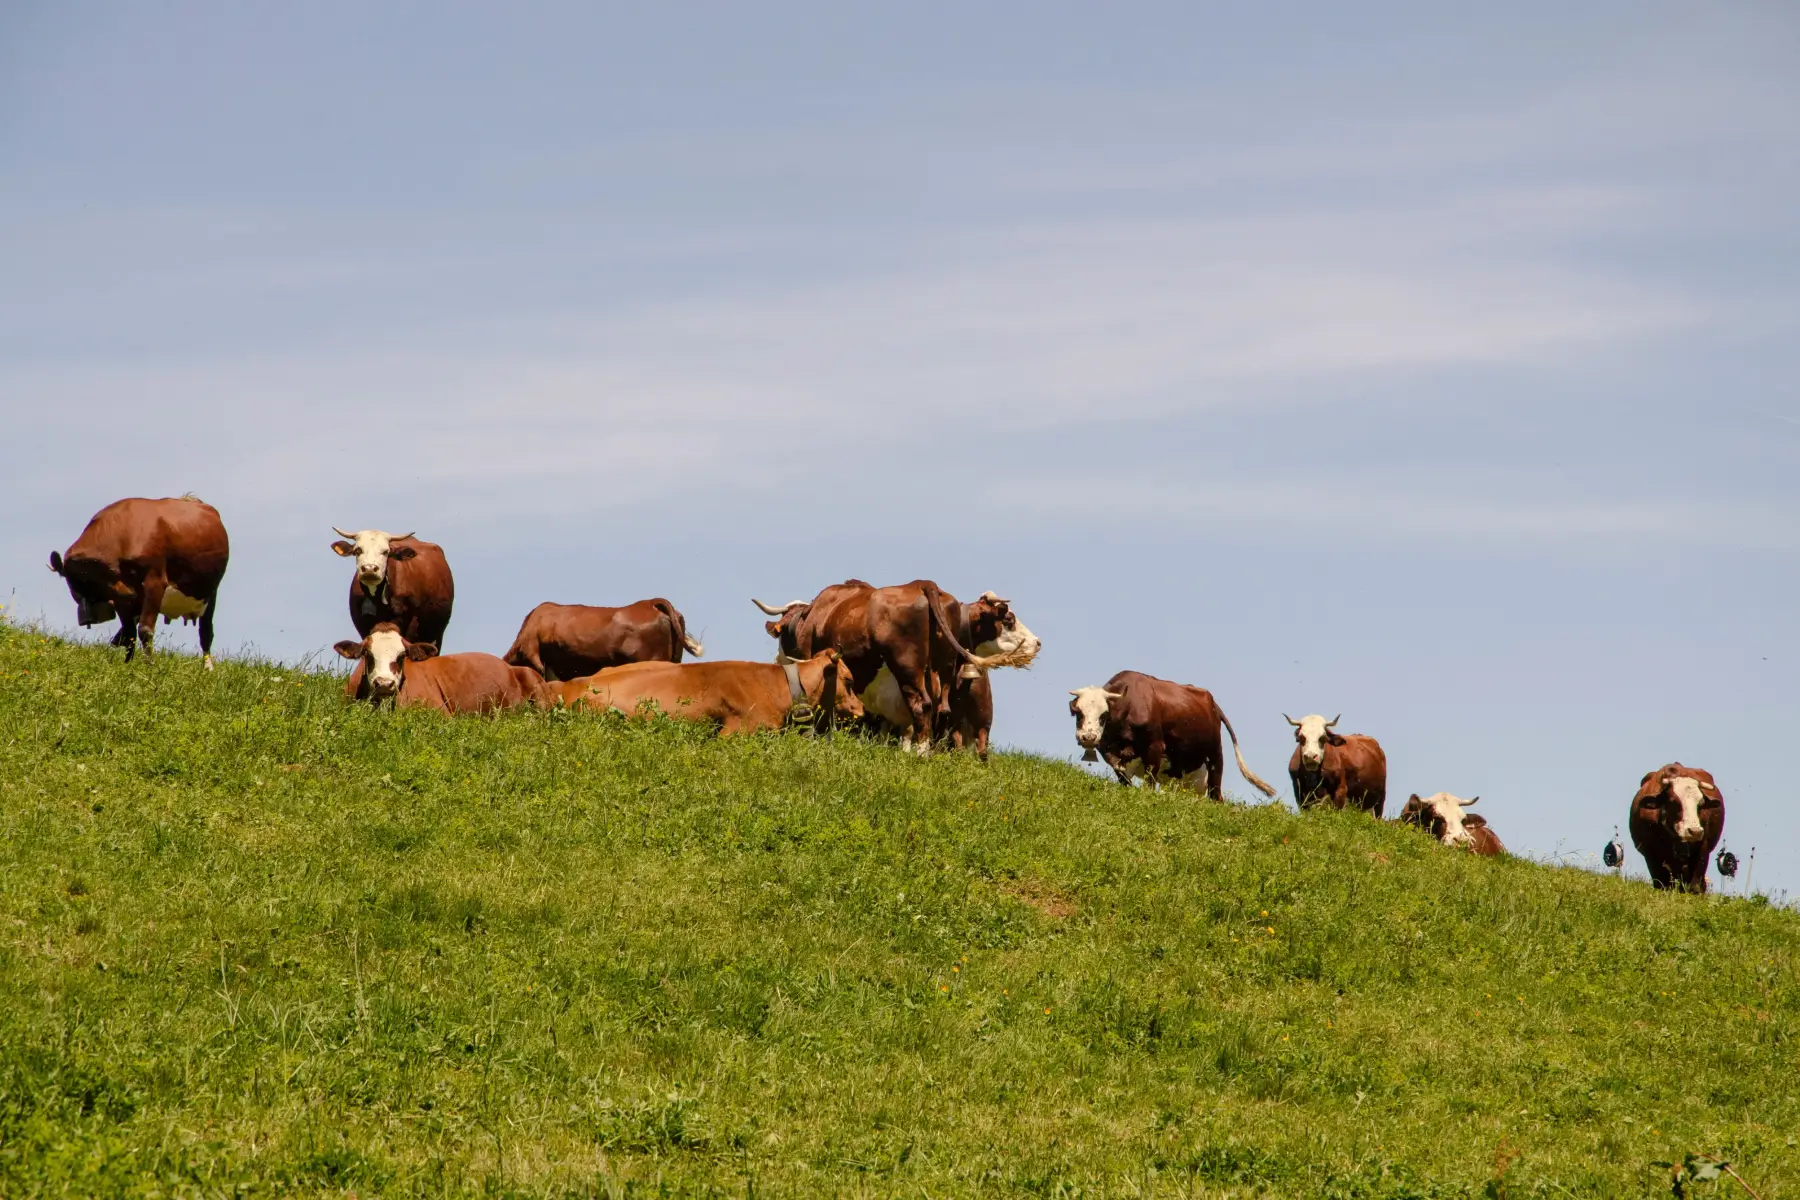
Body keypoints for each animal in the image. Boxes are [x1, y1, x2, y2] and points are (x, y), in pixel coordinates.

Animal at [49, 495, 229, 667]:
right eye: (77, 584)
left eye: (105, 576)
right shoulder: (122, 597)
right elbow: (130, 633)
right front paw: (127, 665)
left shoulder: (155, 581)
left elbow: (145, 629)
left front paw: (149, 665)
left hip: (210, 592)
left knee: (206, 632)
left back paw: (208, 668)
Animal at [753, 581, 1038, 754]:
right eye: (1009, 619)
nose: (1037, 642)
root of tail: (923, 583)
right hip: (942, 669)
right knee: (941, 710)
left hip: (907, 668)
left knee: (922, 706)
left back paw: (920, 754)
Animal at [1067, 671, 1277, 799]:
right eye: (1078, 713)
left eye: (1103, 715)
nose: (1088, 737)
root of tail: (1211, 702)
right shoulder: (1110, 753)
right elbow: (1124, 779)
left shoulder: (1154, 748)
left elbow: (1150, 783)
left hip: (1215, 757)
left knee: (1216, 797)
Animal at [1629, 763, 1725, 893]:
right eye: (1674, 801)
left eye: (1700, 803)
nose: (1694, 831)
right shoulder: (1651, 854)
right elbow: (1662, 884)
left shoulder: (1703, 847)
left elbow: (1696, 885)